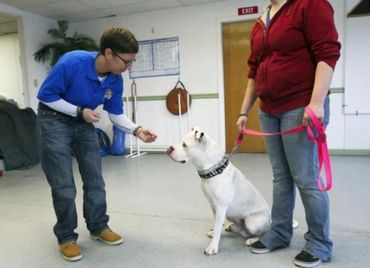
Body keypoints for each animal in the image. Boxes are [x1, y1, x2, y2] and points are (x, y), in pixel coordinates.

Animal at [167, 127, 272, 255]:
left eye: (184, 145)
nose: (169, 149)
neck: (214, 171)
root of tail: (270, 221)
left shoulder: (221, 207)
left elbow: (217, 226)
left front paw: (213, 246)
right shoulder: (214, 207)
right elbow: (217, 224)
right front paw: (215, 234)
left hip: (252, 222)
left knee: (262, 232)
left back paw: (252, 240)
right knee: (242, 230)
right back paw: (232, 227)